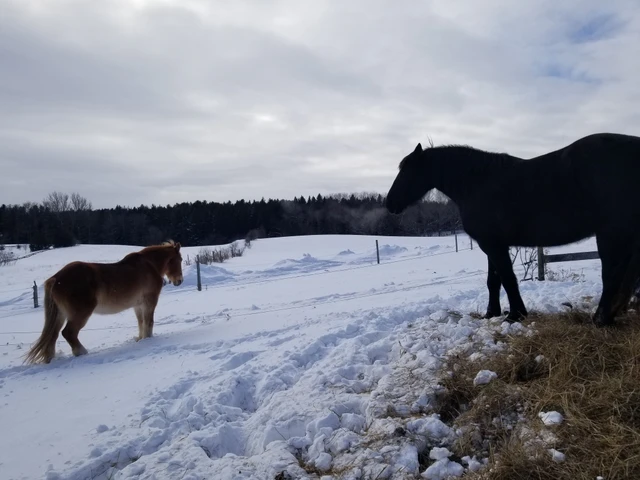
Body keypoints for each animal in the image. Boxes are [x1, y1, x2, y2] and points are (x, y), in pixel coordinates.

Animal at [24, 240, 184, 364]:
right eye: (180, 260)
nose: (179, 281)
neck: (150, 265)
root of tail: (56, 278)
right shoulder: (149, 302)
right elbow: (149, 322)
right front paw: (148, 339)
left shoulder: (138, 306)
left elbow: (141, 323)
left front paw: (140, 339)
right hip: (80, 314)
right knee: (68, 333)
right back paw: (82, 352)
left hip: (60, 315)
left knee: (53, 335)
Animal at [388, 132, 640, 326]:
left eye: (408, 171)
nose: (390, 203)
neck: (476, 184)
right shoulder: (492, 244)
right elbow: (493, 281)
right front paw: (491, 313)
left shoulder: (493, 245)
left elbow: (508, 278)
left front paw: (515, 315)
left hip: (611, 234)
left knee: (612, 275)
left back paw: (600, 319)